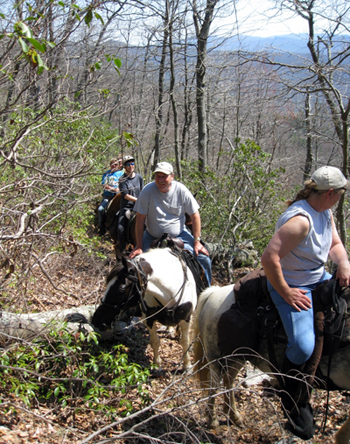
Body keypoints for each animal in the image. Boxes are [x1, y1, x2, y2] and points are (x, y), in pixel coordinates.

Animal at [191, 280, 350, 440]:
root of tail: (214, 292)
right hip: (215, 358)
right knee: (214, 384)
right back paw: (213, 420)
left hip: (239, 356)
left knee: (229, 380)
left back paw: (235, 417)